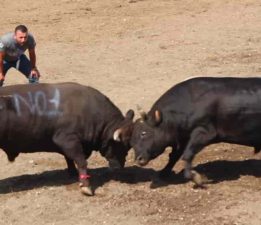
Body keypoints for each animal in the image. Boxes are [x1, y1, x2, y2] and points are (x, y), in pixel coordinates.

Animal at [0, 82, 133, 195]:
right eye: (121, 145)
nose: (120, 167)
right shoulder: (68, 140)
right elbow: (81, 161)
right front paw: (86, 186)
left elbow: (69, 159)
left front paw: (72, 173)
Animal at [130, 76, 260, 185]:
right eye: (132, 140)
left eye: (143, 133)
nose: (139, 159)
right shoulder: (183, 138)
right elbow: (174, 156)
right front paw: (163, 173)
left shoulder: (204, 133)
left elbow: (187, 155)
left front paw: (195, 177)